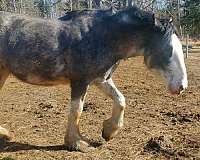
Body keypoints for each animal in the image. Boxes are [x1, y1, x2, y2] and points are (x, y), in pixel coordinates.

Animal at [0, 6, 188, 151]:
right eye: (168, 50)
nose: (182, 86)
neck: (102, 37)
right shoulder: (80, 82)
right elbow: (77, 110)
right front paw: (76, 143)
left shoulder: (100, 79)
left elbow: (121, 100)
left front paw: (109, 131)